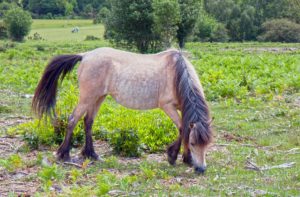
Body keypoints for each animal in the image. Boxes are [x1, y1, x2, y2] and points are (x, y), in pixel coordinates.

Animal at [31, 47, 212, 174]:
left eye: (208, 144)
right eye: (194, 143)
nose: (201, 169)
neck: (177, 74)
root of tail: (85, 55)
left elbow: (185, 129)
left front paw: (186, 158)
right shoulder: (167, 106)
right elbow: (182, 129)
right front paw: (173, 156)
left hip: (99, 97)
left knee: (88, 122)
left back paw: (92, 154)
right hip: (87, 97)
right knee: (73, 119)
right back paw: (64, 154)